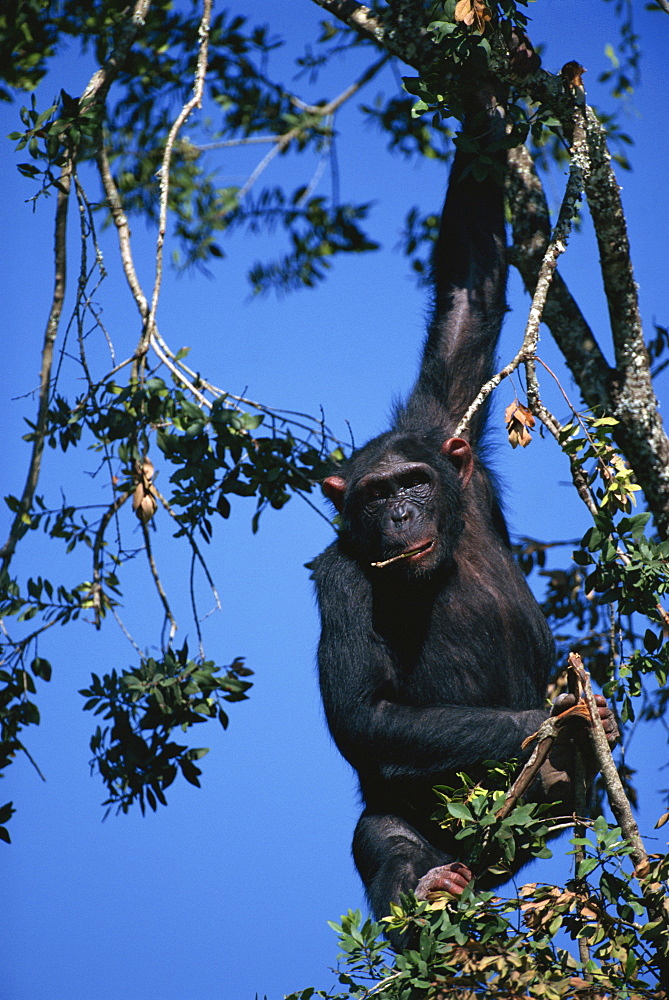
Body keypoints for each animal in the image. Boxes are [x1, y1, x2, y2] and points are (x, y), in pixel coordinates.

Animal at [310, 82, 612, 916]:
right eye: (374, 496)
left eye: (412, 483)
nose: (400, 514)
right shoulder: (339, 580)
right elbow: (367, 713)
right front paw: (558, 716)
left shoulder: (445, 423)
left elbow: (467, 297)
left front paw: (485, 92)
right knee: (379, 834)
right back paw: (425, 882)